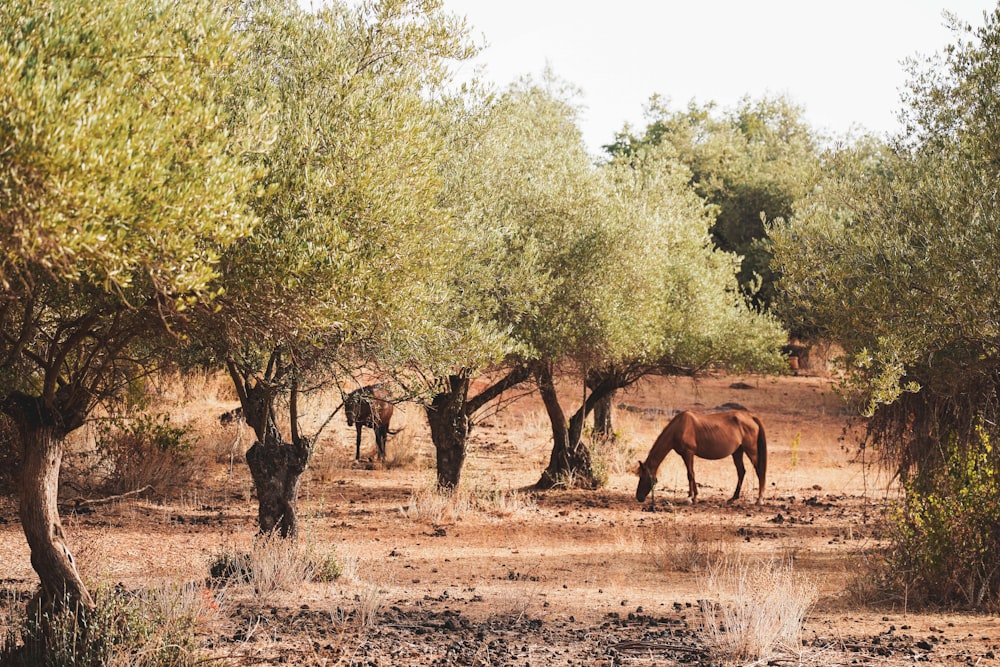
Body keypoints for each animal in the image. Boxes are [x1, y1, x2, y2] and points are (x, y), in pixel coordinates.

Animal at [636, 410, 768, 508]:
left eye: (643, 477)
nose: (639, 497)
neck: (680, 427)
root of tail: (751, 417)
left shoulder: (688, 453)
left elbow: (690, 474)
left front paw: (691, 497)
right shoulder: (686, 455)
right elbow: (691, 474)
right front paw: (693, 496)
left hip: (751, 450)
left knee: (759, 471)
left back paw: (759, 499)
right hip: (737, 452)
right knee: (741, 472)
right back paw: (733, 498)